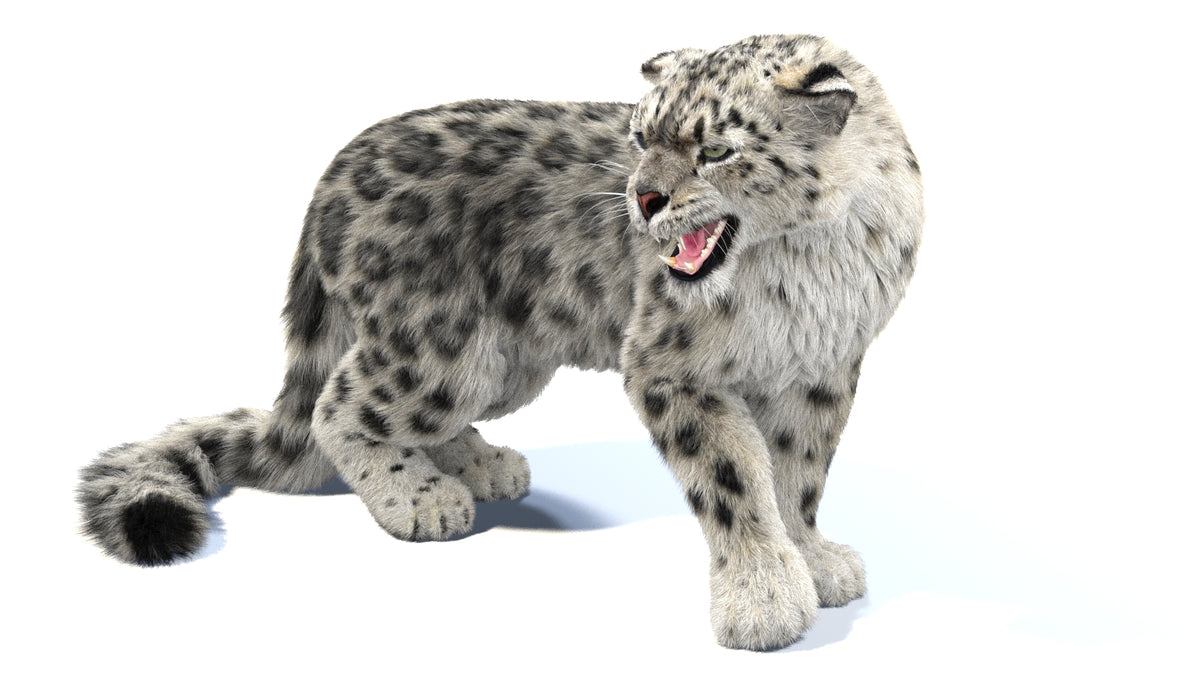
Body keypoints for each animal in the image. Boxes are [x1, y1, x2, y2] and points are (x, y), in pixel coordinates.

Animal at [77, 34, 923, 650]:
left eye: (716, 150)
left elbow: (798, 472)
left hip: (509, 362)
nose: (643, 198)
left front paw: (812, 557)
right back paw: (420, 499)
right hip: (442, 350)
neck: (806, 262)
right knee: (338, 404)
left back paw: (480, 465)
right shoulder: (671, 367)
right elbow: (733, 477)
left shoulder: (823, 369)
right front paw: (764, 599)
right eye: (640, 136)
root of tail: (330, 179)